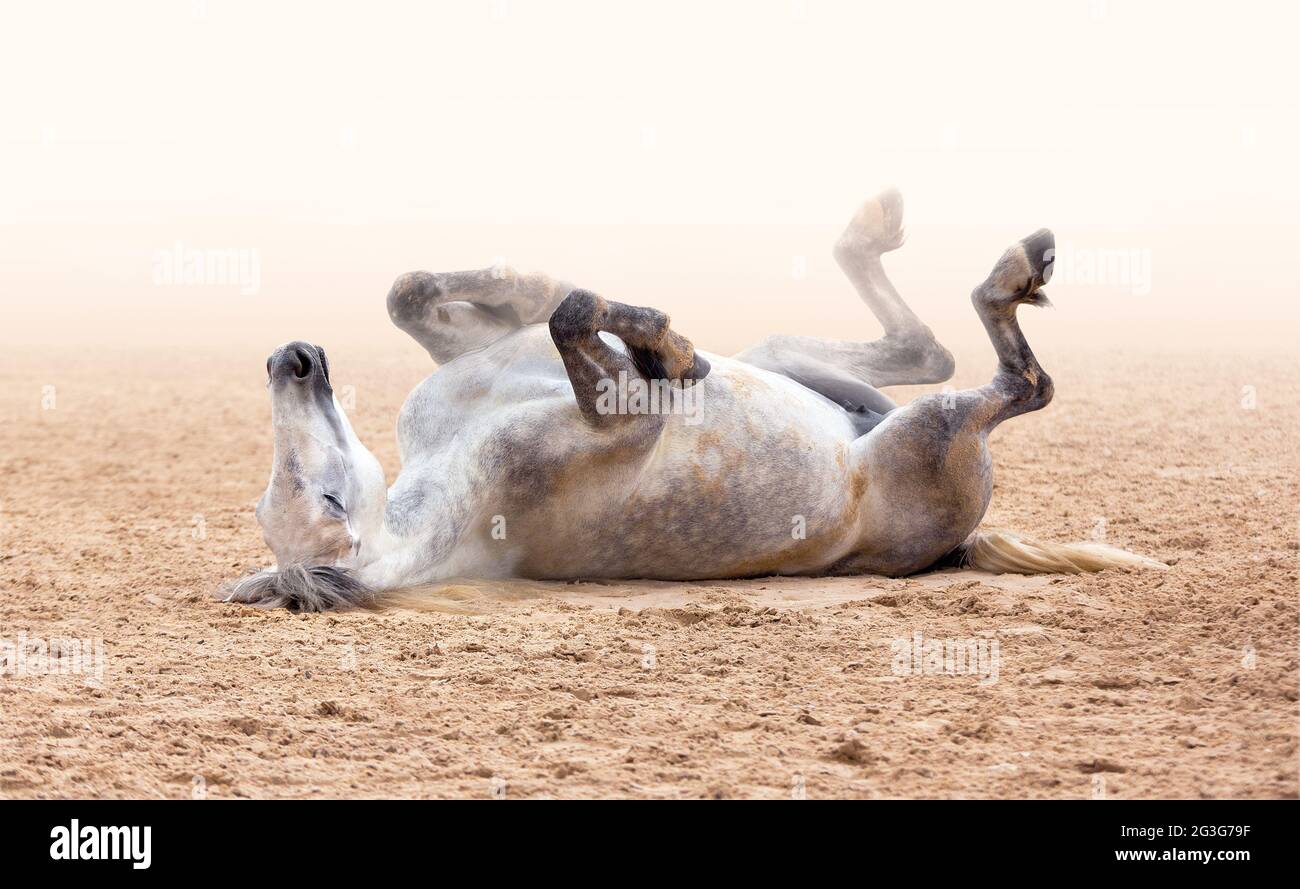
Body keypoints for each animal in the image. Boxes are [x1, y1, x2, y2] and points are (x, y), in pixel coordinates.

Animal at [226, 190, 1163, 611]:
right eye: (327, 502)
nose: (293, 360)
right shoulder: (619, 418)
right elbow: (575, 317)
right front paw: (665, 348)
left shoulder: (471, 346)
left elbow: (434, 291)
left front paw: (659, 342)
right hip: (931, 435)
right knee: (1020, 382)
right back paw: (1016, 269)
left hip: (790, 360)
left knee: (920, 350)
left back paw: (876, 225)